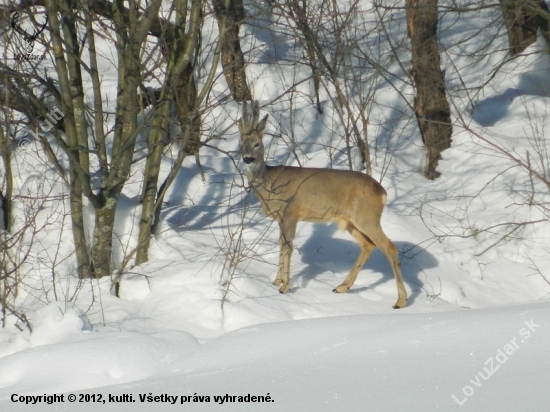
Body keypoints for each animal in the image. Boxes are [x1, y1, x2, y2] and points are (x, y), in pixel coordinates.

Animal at [239, 101, 408, 308]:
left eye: (257, 144)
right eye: (241, 144)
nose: (248, 158)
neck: (270, 184)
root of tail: (382, 192)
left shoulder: (290, 213)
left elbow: (288, 247)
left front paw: (285, 287)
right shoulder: (281, 219)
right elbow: (281, 244)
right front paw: (277, 281)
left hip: (366, 217)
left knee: (389, 247)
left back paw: (400, 301)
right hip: (350, 220)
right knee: (368, 245)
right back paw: (341, 287)